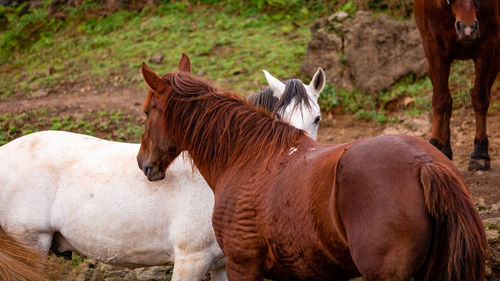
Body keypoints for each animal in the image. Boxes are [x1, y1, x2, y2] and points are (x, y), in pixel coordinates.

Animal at [414, 0, 500, 168]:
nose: (467, 29)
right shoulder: (433, 47)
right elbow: (440, 100)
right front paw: (434, 143)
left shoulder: (487, 46)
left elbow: (480, 98)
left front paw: (480, 153)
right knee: (446, 98)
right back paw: (444, 148)